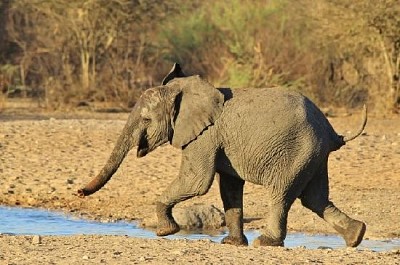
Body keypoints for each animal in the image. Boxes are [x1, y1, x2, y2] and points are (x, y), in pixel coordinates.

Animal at [76, 63, 368, 246]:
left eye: (146, 119)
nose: (79, 191)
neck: (182, 92)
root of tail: (331, 132)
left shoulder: (204, 136)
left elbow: (197, 181)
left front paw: (165, 232)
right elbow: (228, 187)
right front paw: (232, 244)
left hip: (298, 150)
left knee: (281, 194)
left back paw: (266, 243)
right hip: (313, 155)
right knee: (315, 198)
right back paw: (356, 236)